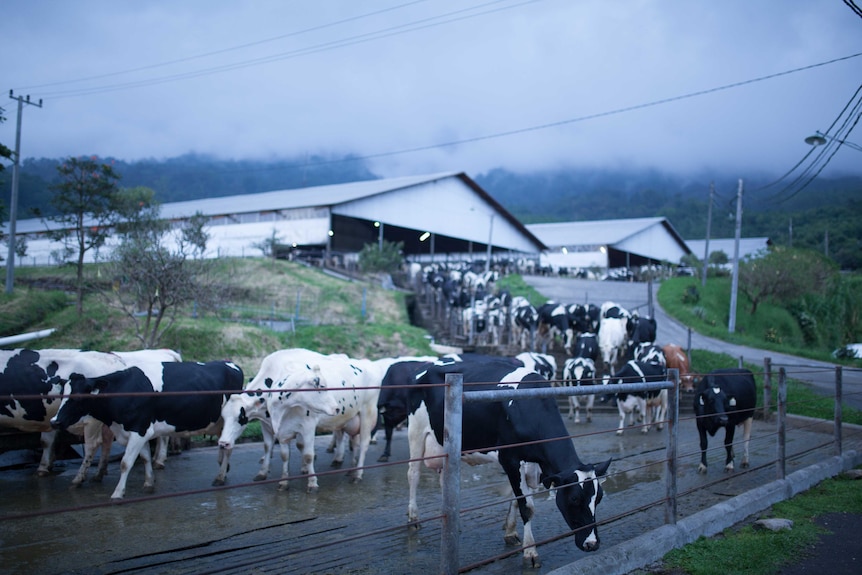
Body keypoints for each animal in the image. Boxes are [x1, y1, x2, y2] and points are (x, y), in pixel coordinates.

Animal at [51, 360, 243, 500]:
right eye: (61, 394)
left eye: (78, 397)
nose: (55, 422)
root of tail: (231, 363)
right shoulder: (139, 431)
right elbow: (144, 458)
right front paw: (149, 484)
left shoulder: (139, 429)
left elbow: (125, 463)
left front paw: (117, 493)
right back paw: (223, 469)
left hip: (232, 421)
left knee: (228, 447)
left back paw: (219, 477)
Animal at [408, 358, 612, 560]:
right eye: (575, 498)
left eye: (599, 498)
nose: (592, 544)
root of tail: (428, 367)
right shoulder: (510, 459)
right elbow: (527, 507)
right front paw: (530, 551)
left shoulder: (533, 465)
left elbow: (516, 499)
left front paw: (511, 532)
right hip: (416, 432)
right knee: (413, 474)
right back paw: (413, 518)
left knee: (445, 481)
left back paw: (453, 526)